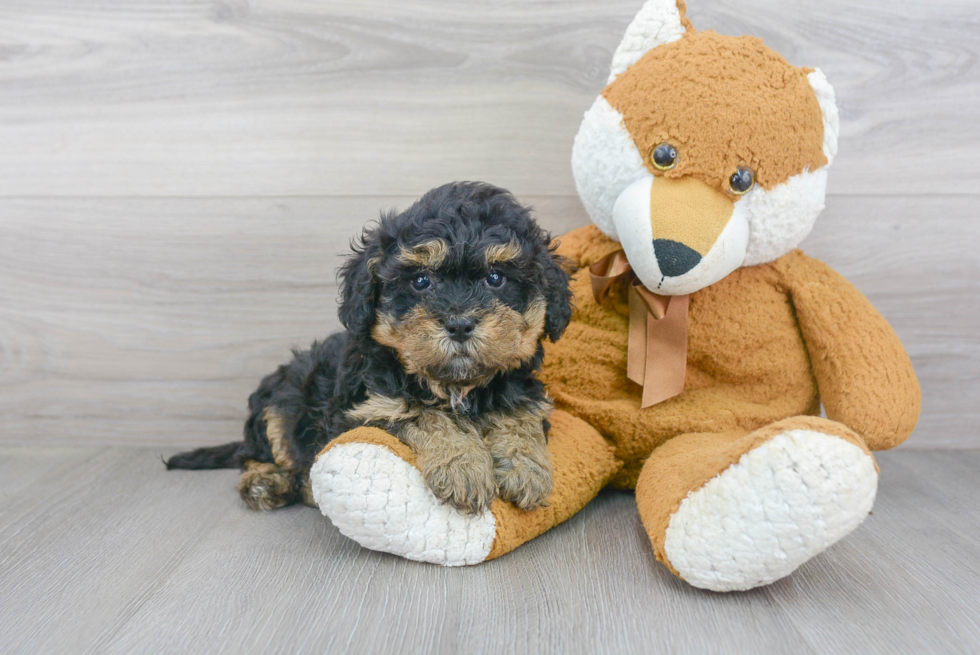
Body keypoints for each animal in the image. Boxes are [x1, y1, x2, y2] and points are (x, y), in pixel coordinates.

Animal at [165, 182, 572, 516]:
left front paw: (526, 468)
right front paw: (463, 467)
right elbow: (424, 414)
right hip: (279, 405)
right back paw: (268, 482)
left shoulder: (521, 388)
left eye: (496, 278)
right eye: (420, 281)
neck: (455, 385)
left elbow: (520, 415)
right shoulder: (366, 409)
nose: (459, 324)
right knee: (259, 454)